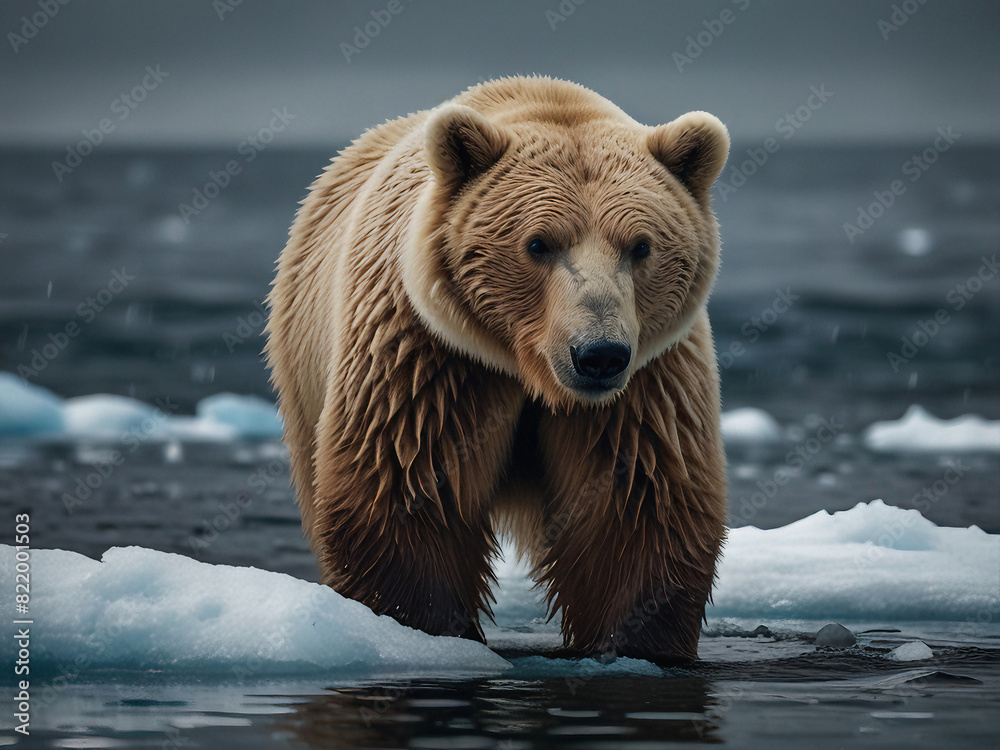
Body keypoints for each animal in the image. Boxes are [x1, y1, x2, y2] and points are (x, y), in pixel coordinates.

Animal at [265, 76, 729, 663]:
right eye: (538, 243)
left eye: (640, 246)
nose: (598, 354)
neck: (531, 371)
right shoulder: (432, 358)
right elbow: (408, 488)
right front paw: (428, 629)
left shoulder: (647, 383)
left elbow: (635, 507)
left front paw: (634, 644)